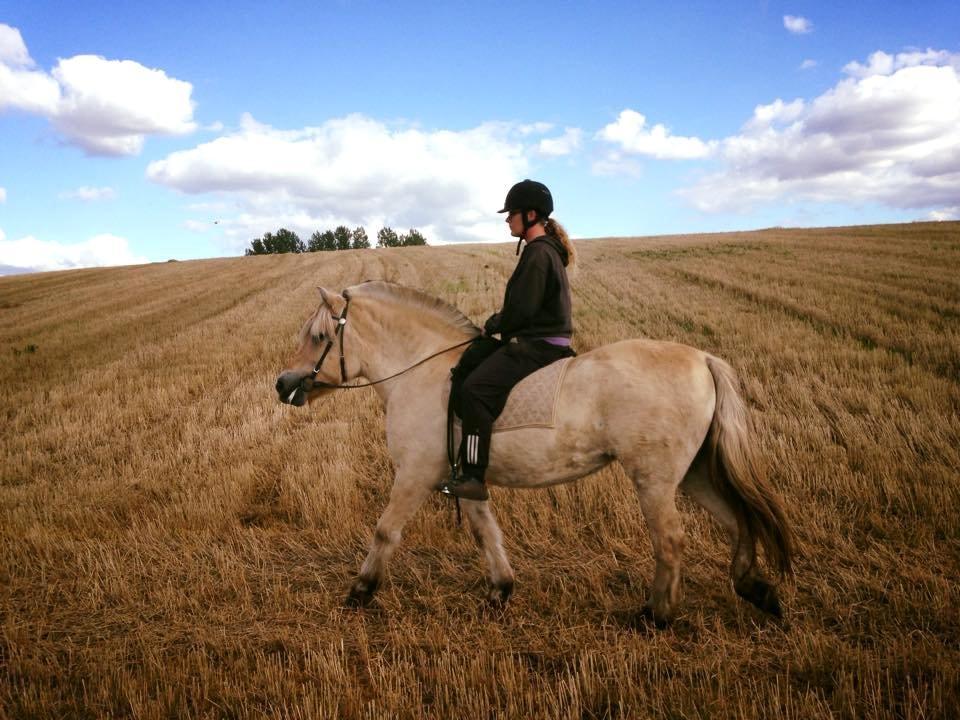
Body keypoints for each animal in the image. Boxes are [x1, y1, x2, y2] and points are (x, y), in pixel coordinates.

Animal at [274, 278, 792, 620]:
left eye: (319, 337)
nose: (282, 385)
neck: (422, 369)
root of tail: (702, 358)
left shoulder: (416, 473)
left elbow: (386, 531)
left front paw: (360, 591)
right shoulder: (465, 479)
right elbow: (486, 533)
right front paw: (501, 590)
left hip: (656, 478)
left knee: (670, 539)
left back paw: (656, 615)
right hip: (695, 472)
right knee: (737, 519)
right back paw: (755, 589)